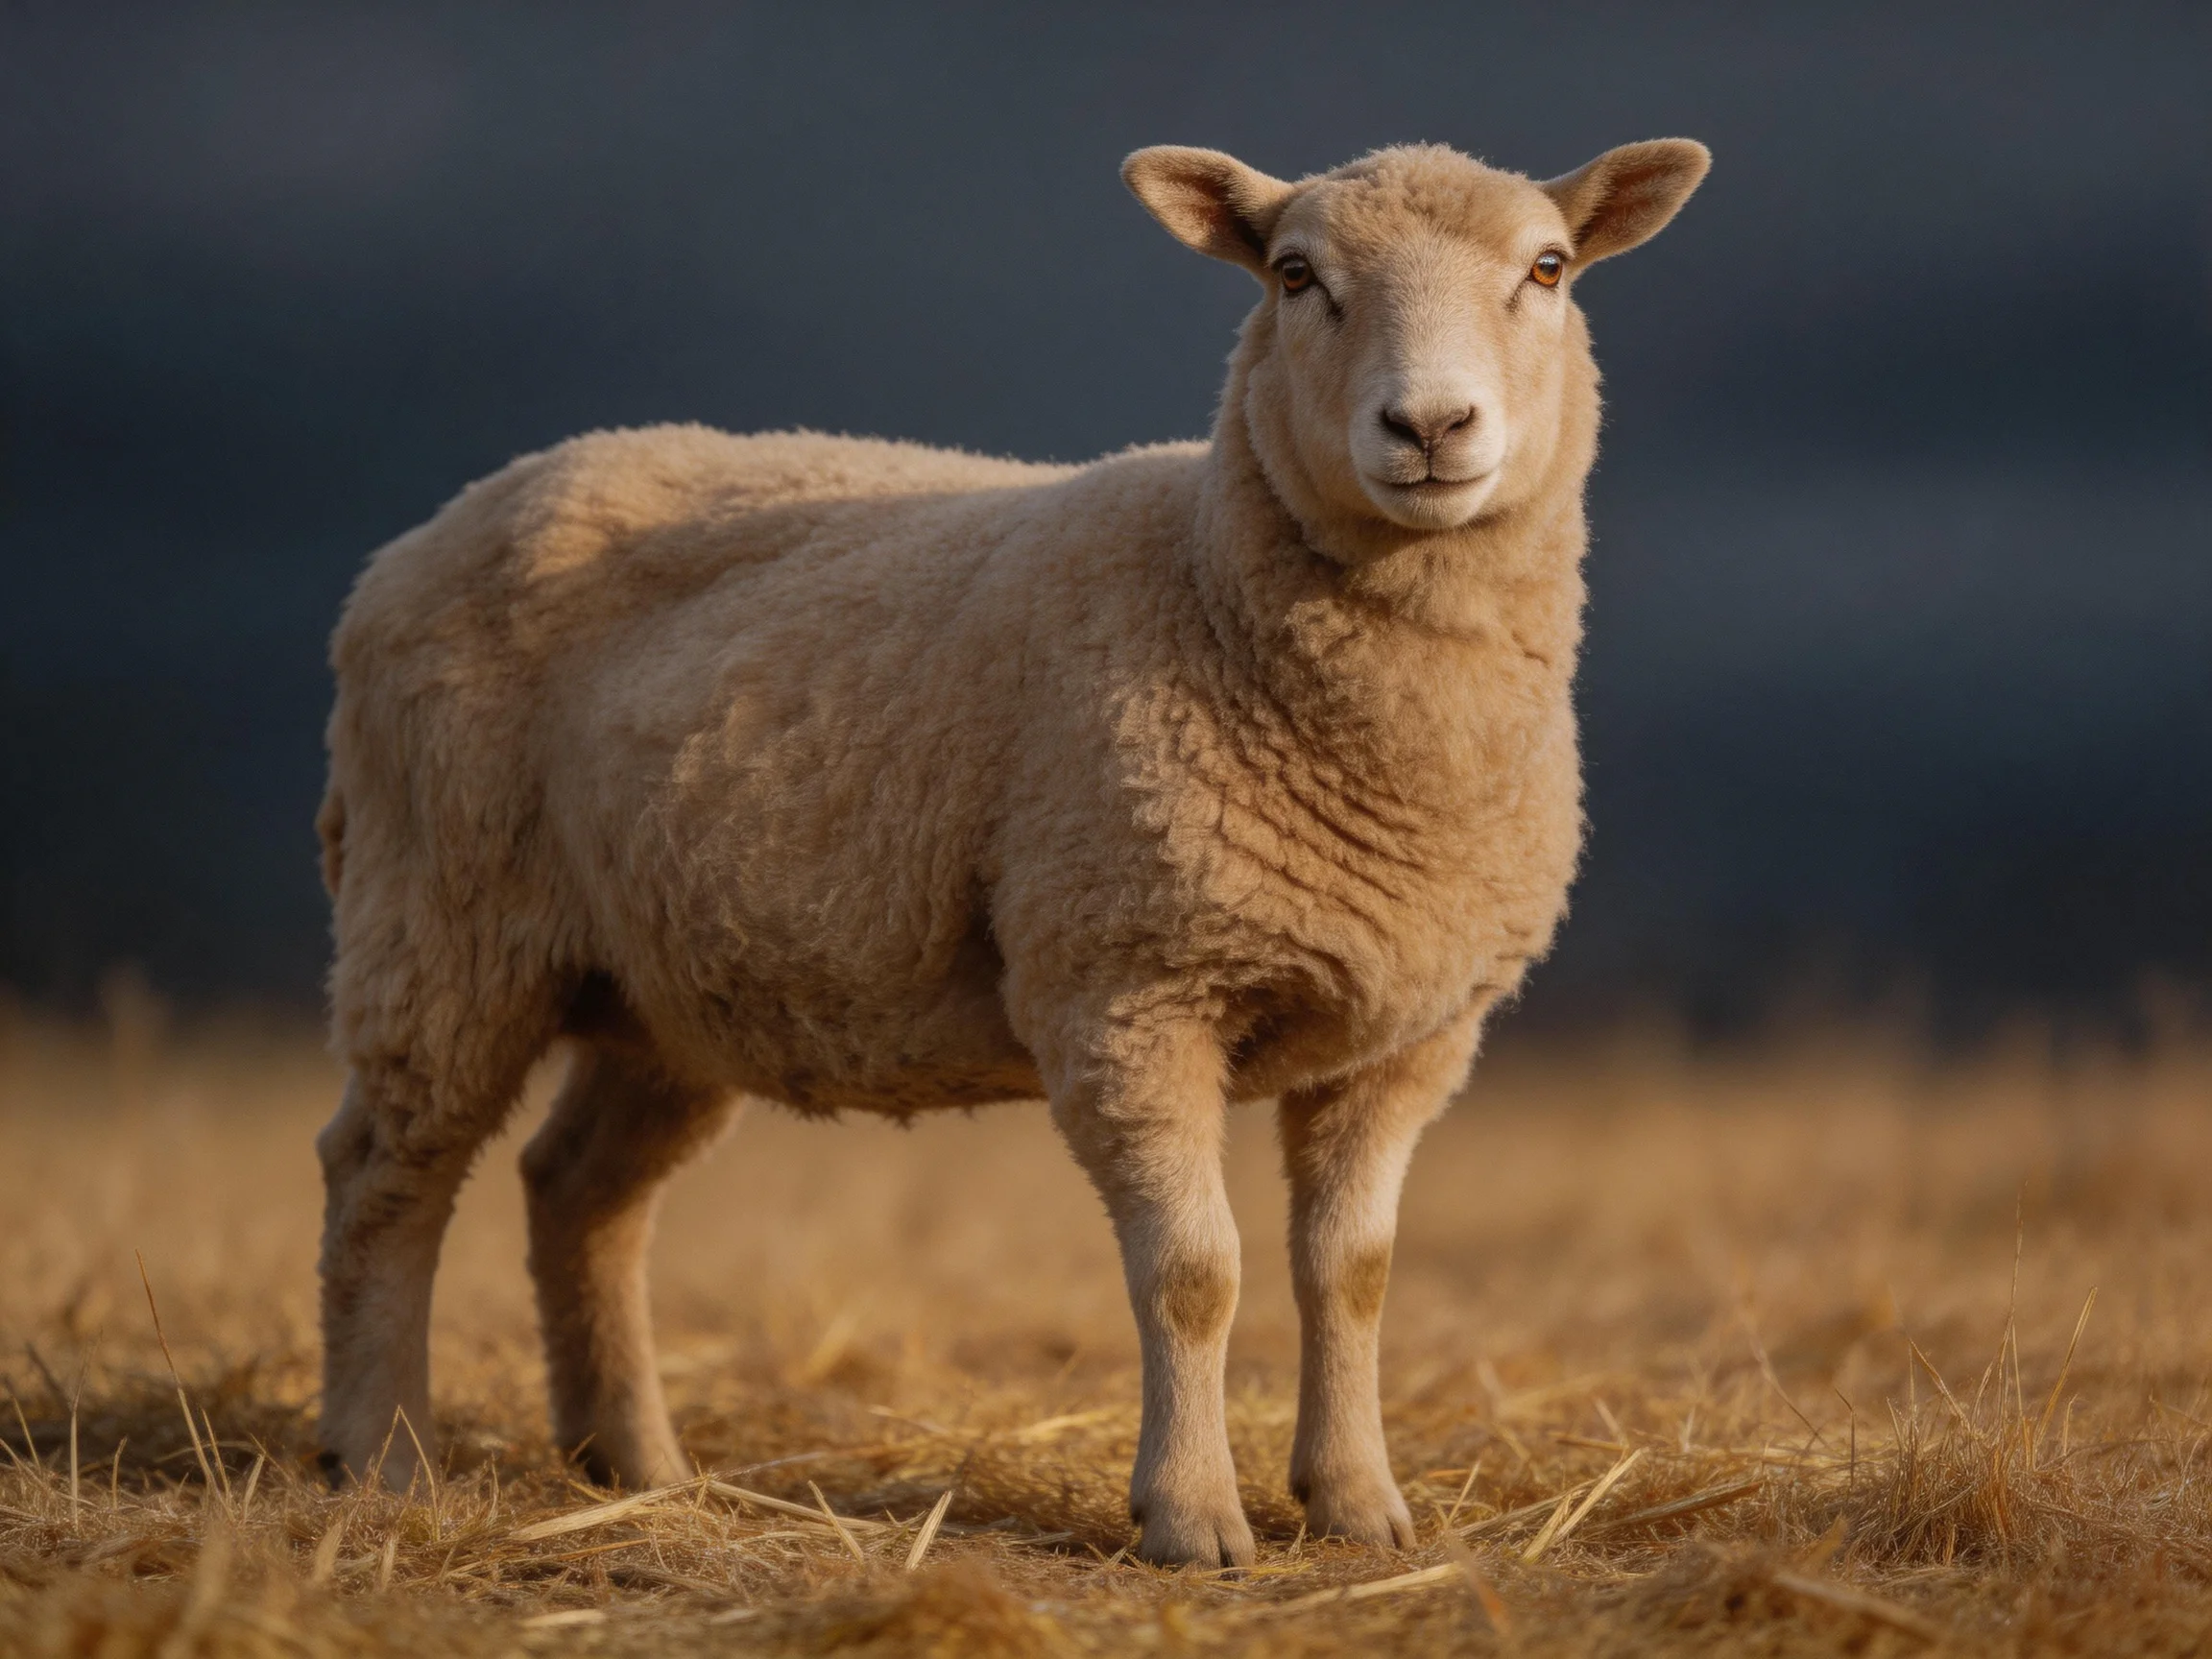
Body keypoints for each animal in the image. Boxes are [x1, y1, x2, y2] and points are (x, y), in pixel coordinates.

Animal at [314, 136, 1709, 1567]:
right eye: (1292, 274)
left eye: (1548, 268)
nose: (1430, 428)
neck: (1207, 583)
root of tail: (423, 537)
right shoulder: (1128, 985)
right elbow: (1195, 1273)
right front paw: (1193, 1518)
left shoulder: (1409, 1034)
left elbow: (1353, 1272)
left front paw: (1360, 1508)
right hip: (441, 914)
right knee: (386, 1175)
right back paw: (384, 1461)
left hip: (663, 983)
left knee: (579, 1189)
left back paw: (639, 1467)